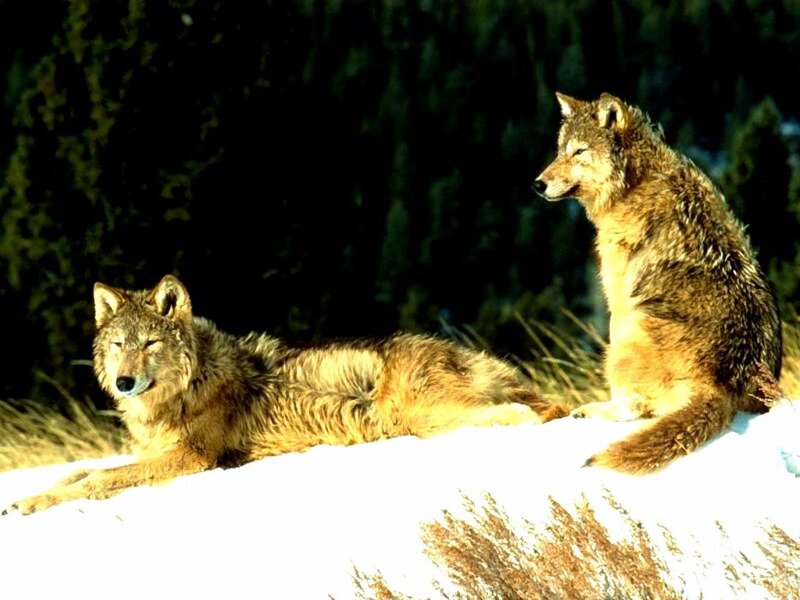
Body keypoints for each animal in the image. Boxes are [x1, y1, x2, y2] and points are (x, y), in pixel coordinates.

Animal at [4, 275, 567, 514]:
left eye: (150, 344)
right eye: (120, 344)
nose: (124, 382)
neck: (190, 385)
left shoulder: (191, 458)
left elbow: (99, 478)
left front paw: (42, 504)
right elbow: (76, 472)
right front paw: (28, 498)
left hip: (413, 416)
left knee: (524, 413)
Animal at [533, 92, 783, 473]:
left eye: (579, 152)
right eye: (560, 150)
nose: (538, 184)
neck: (636, 182)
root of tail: (721, 385)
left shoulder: (619, 298)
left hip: (627, 333)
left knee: (635, 409)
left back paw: (588, 410)